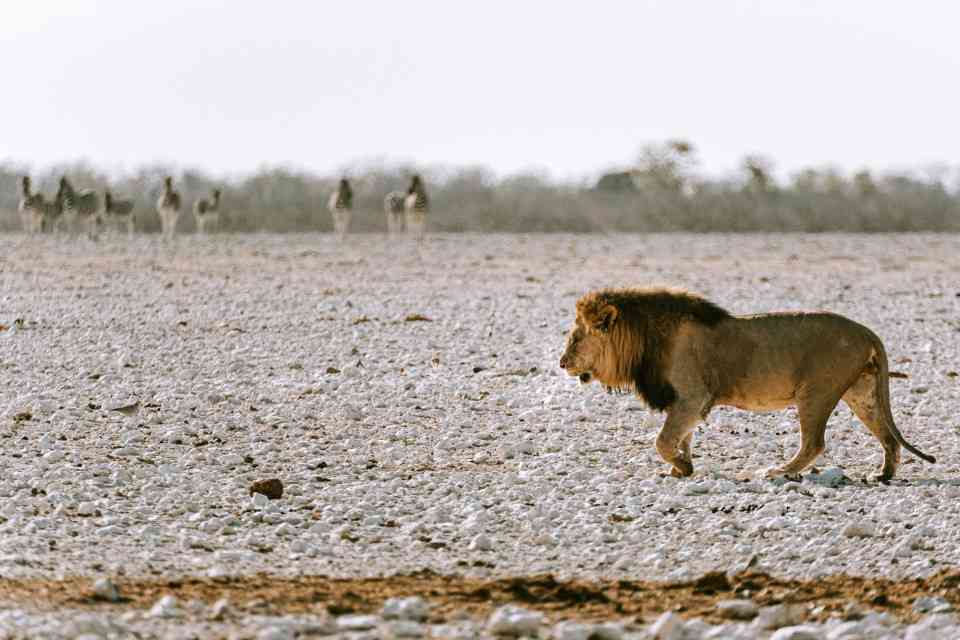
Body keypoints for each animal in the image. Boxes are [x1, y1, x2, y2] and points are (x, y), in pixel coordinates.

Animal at [559, 287, 935, 481]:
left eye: (576, 337)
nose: (562, 363)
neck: (644, 339)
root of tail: (867, 331)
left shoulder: (691, 396)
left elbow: (663, 441)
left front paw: (682, 467)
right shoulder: (688, 403)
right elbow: (683, 438)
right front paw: (682, 468)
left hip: (816, 393)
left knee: (814, 443)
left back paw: (779, 471)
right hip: (862, 393)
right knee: (889, 437)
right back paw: (883, 475)